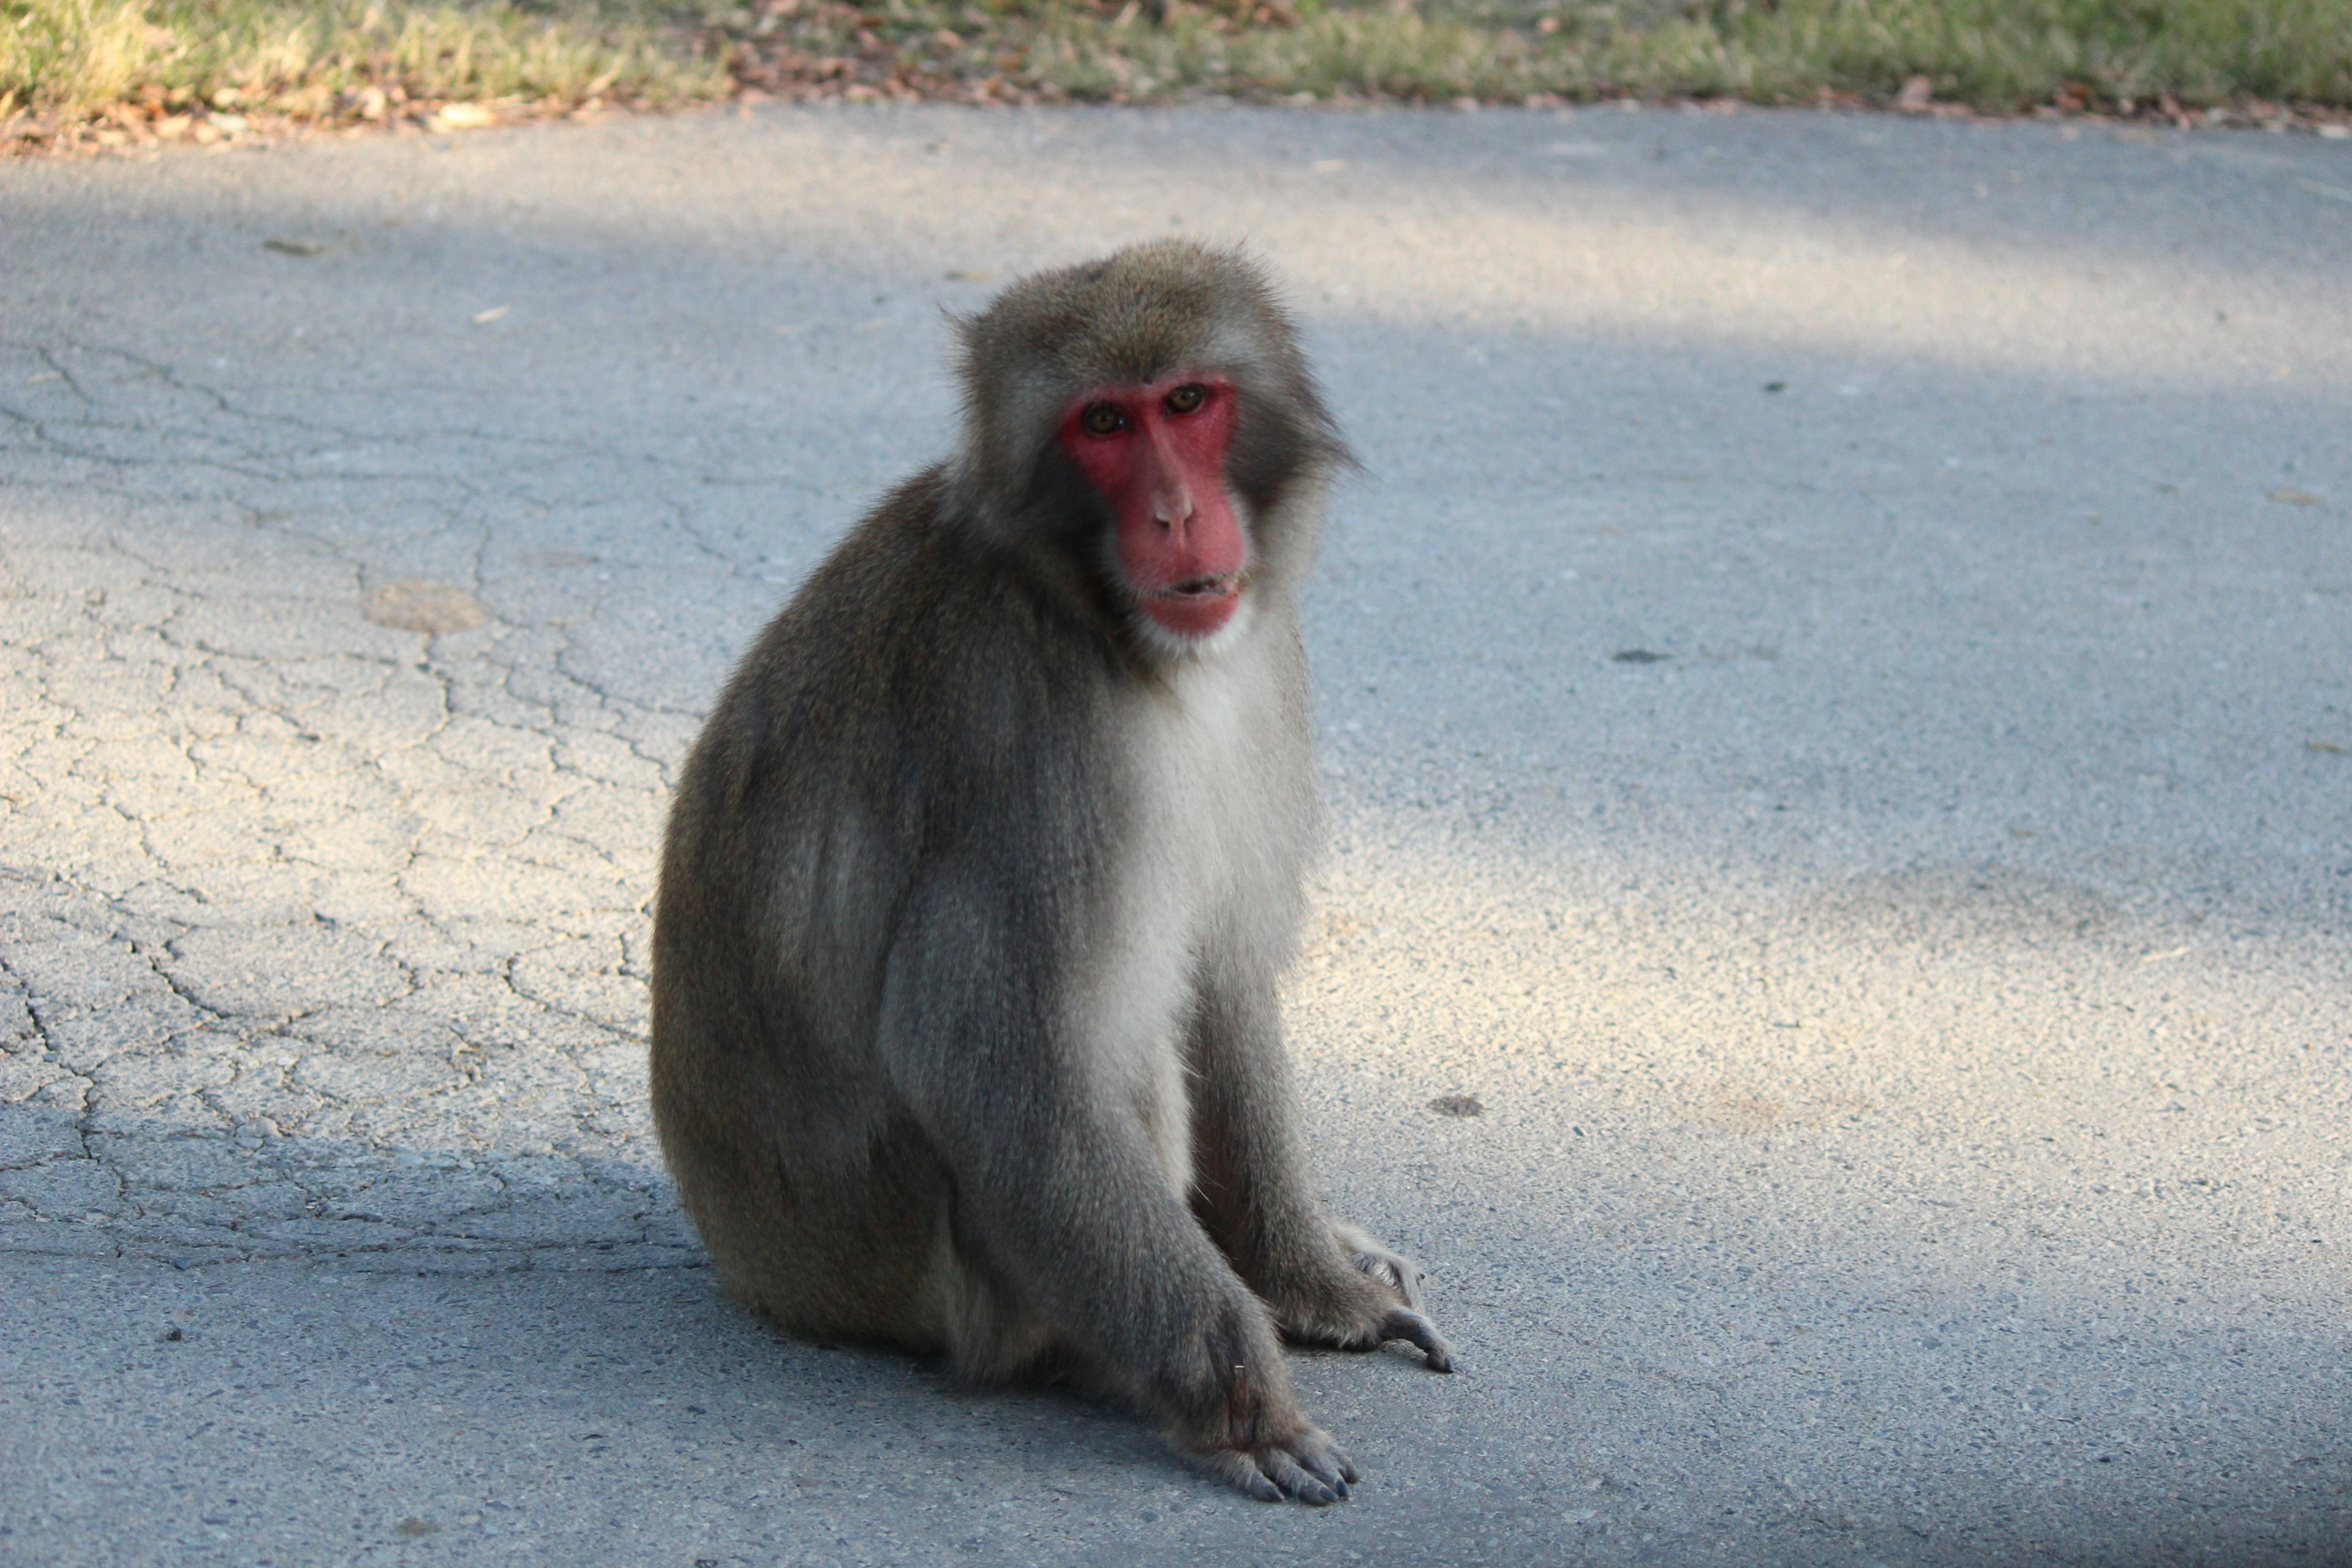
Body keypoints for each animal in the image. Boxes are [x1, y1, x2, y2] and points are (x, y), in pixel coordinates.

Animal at [649, 239, 1449, 1504]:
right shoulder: (1033, 742)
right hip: (926, 1277)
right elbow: (995, 1065)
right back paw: (1104, 1361)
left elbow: (1222, 980)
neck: (1103, 622)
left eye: (1187, 403)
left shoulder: (1262, 659)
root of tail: (760, 1271)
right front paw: (1241, 1398)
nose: (1177, 512)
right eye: (1103, 424)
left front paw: (1320, 1289)